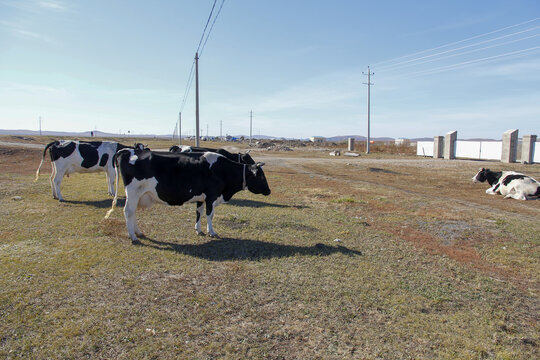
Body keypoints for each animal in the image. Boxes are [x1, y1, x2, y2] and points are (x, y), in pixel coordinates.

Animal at [105, 149, 270, 245]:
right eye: (261, 176)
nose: (269, 191)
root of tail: (127, 151)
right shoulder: (211, 196)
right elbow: (210, 215)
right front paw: (212, 232)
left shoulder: (201, 198)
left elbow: (199, 213)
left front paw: (198, 230)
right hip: (133, 192)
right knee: (128, 212)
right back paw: (132, 236)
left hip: (139, 195)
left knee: (133, 213)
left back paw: (138, 232)